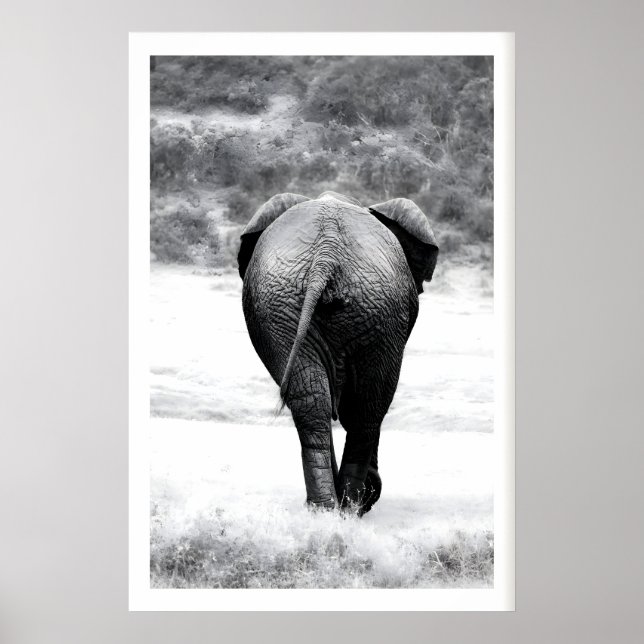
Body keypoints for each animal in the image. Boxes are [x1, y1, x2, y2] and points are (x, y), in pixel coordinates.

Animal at [238, 191, 438, 515]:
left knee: (313, 400)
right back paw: (351, 507)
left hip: (291, 305)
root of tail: (326, 256)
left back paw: (326, 509)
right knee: (367, 405)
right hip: (369, 308)